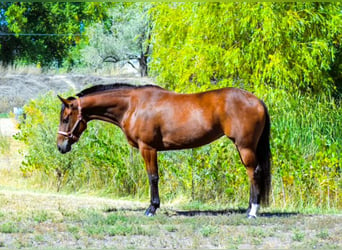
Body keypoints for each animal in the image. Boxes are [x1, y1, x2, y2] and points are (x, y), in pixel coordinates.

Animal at [56, 83, 272, 218]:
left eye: (66, 118)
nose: (60, 146)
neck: (133, 105)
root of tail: (257, 100)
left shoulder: (148, 148)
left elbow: (153, 177)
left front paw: (152, 208)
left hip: (245, 146)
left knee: (254, 172)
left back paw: (253, 212)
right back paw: (248, 208)